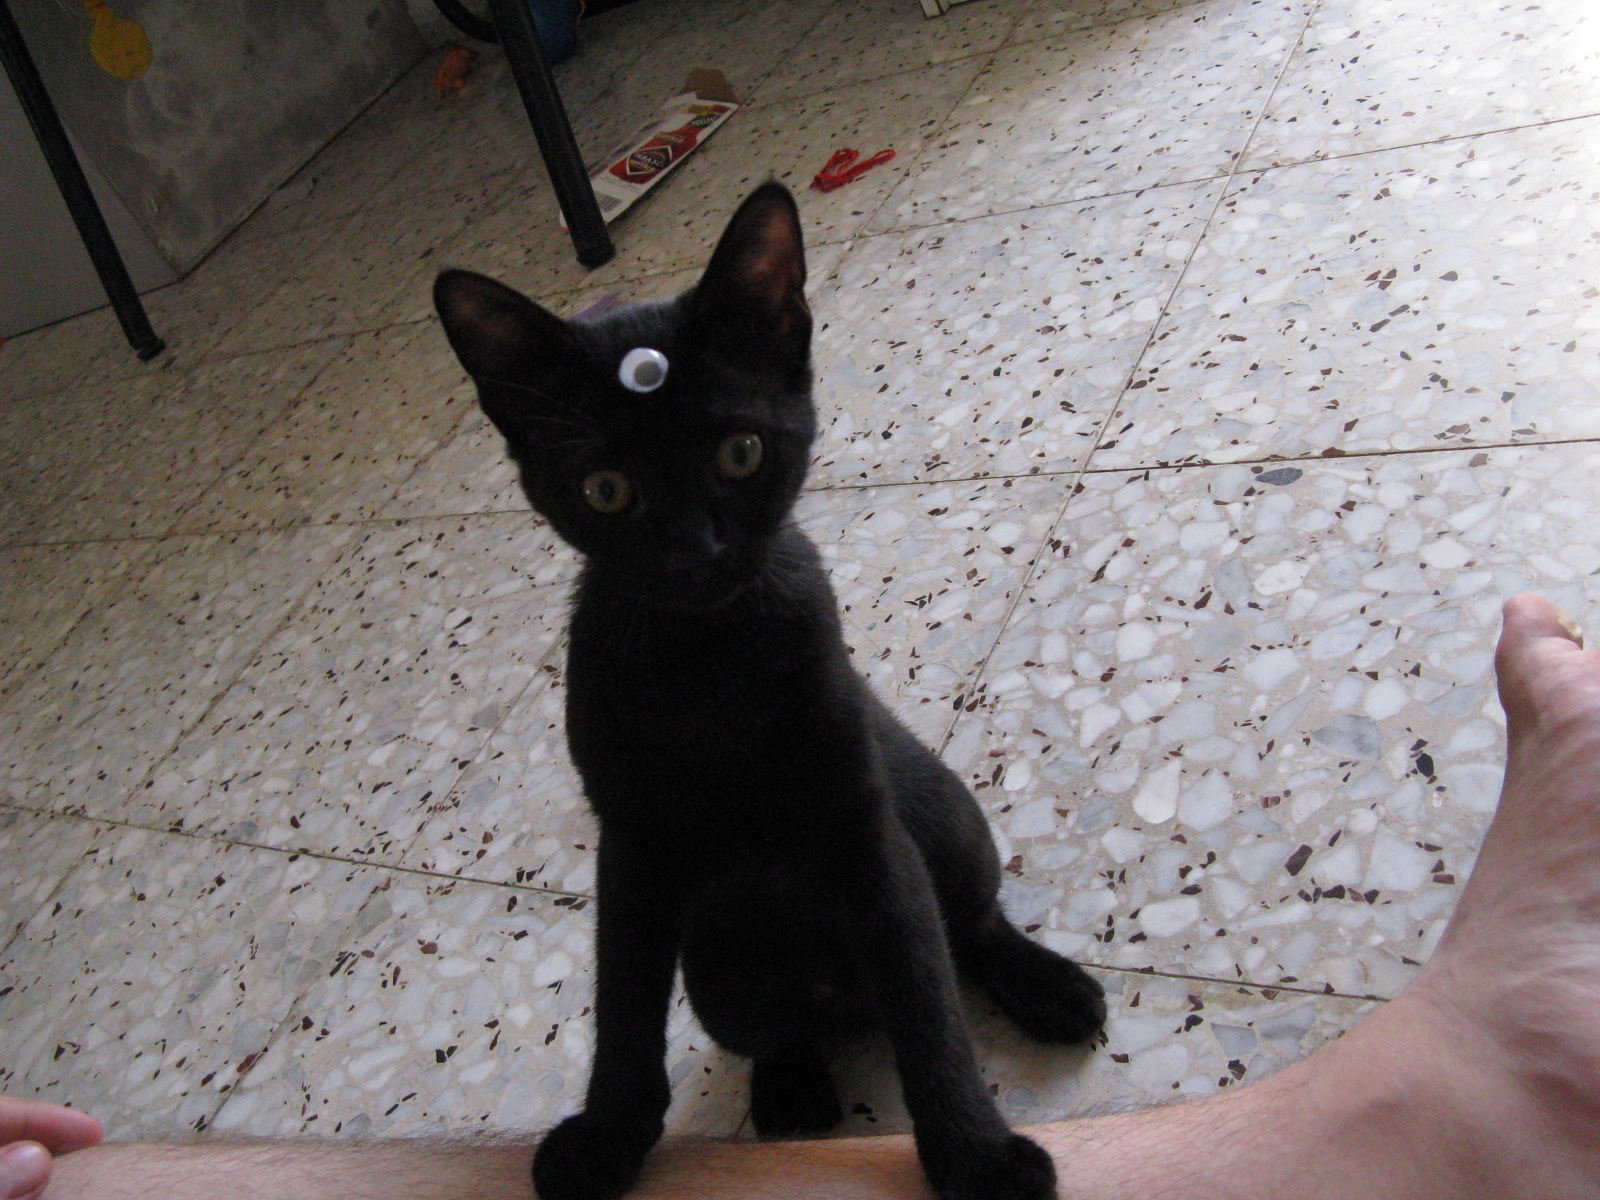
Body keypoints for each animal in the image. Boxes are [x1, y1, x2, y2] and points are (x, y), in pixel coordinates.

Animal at [433, 182, 1106, 1200]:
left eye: (741, 453)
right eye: (606, 489)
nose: (696, 554)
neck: (711, 659)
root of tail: (844, 1005)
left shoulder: (863, 825)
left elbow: (926, 1000)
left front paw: (977, 1156)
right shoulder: (633, 846)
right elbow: (622, 1007)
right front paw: (607, 1137)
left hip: (945, 817)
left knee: (968, 927)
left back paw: (1047, 987)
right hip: (716, 967)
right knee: (777, 1028)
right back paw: (791, 1091)